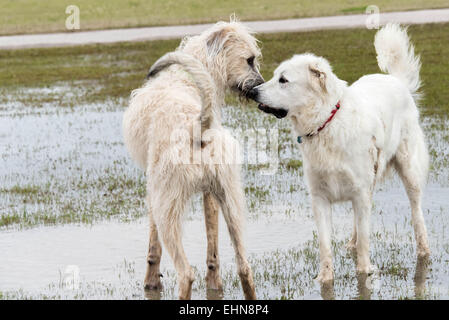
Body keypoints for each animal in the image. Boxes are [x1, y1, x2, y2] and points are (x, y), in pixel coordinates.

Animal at [121, 19, 262, 300]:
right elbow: (213, 249)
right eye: (250, 60)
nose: (259, 88)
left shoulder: (153, 191)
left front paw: (151, 283)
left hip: (168, 207)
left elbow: (153, 246)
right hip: (230, 200)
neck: (185, 78)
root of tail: (198, 126)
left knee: (185, 273)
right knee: (244, 267)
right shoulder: (211, 194)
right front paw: (215, 283)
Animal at [250, 24, 428, 282]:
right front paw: (325, 278)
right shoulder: (320, 198)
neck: (325, 123)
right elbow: (325, 244)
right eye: (275, 77)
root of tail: (396, 81)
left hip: (408, 169)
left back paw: (423, 249)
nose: (253, 91)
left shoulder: (359, 191)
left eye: (283, 80)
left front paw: (364, 272)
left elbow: (365, 242)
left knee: (416, 211)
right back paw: (351, 243)